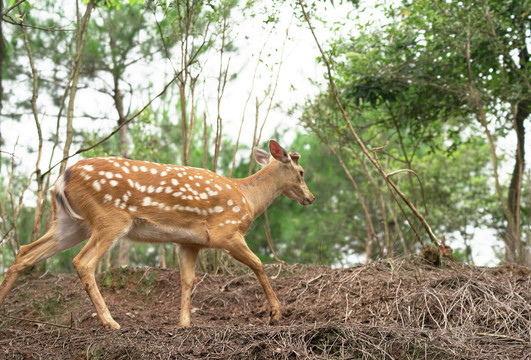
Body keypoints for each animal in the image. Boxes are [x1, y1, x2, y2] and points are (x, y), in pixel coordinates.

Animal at [0, 141, 316, 330]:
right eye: (301, 172)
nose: (310, 198)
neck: (248, 199)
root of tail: (61, 179)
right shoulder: (226, 232)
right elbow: (259, 265)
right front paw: (276, 313)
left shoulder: (188, 242)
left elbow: (188, 280)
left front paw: (184, 323)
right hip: (110, 218)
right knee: (83, 262)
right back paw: (110, 322)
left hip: (69, 223)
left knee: (26, 252)